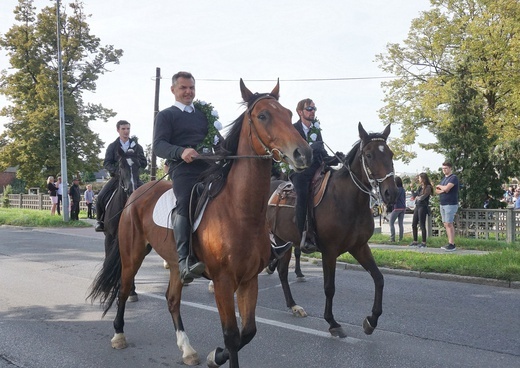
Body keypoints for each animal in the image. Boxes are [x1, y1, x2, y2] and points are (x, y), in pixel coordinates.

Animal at [87, 80, 310, 368]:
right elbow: (232, 336)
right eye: (263, 116)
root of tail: (136, 193)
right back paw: (118, 335)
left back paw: (187, 348)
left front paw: (215, 356)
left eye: (288, 114)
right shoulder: (224, 282)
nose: (303, 153)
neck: (240, 212)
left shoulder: (249, 280)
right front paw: (218, 355)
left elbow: (248, 332)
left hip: (174, 263)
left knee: (172, 300)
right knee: (123, 290)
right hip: (131, 254)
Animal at [268, 123, 398, 336]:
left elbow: (379, 278)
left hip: (282, 240)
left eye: (391, 153)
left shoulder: (359, 247)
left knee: (282, 272)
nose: (391, 193)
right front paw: (332, 322)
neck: (347, 200)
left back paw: (293, 305)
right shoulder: (329, 251)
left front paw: (371, 320)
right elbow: (329, 287)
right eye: (369, 155)